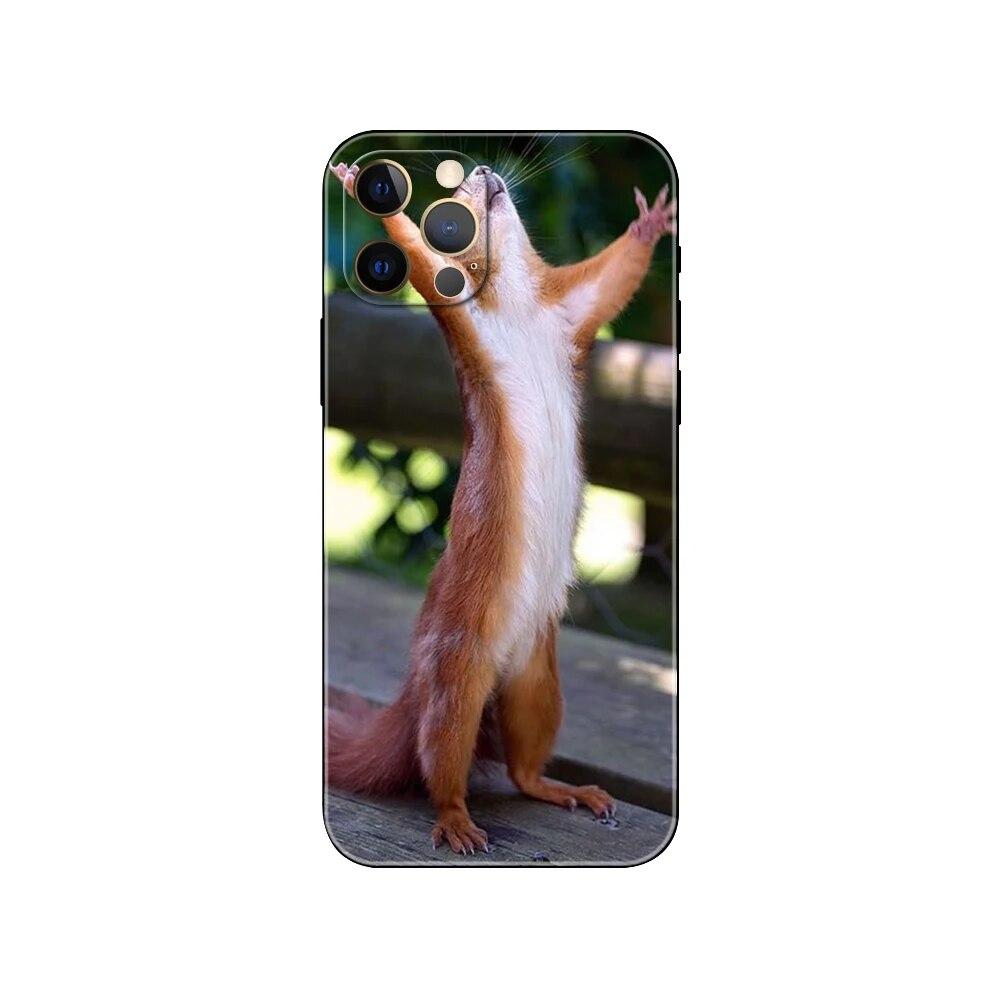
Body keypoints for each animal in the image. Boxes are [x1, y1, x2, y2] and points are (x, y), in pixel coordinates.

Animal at [327, 160, 675, 854]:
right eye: (447, 209)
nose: (484, 171)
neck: (514, 300)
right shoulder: (459, 306)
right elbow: (417, 259)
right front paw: (366, 191)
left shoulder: (569, 310)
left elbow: (613, 279)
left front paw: (650, 223)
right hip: (458, 677)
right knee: (442, 760)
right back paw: (456, 820)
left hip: (538, 682)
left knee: (522, 766)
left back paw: (565, 789)